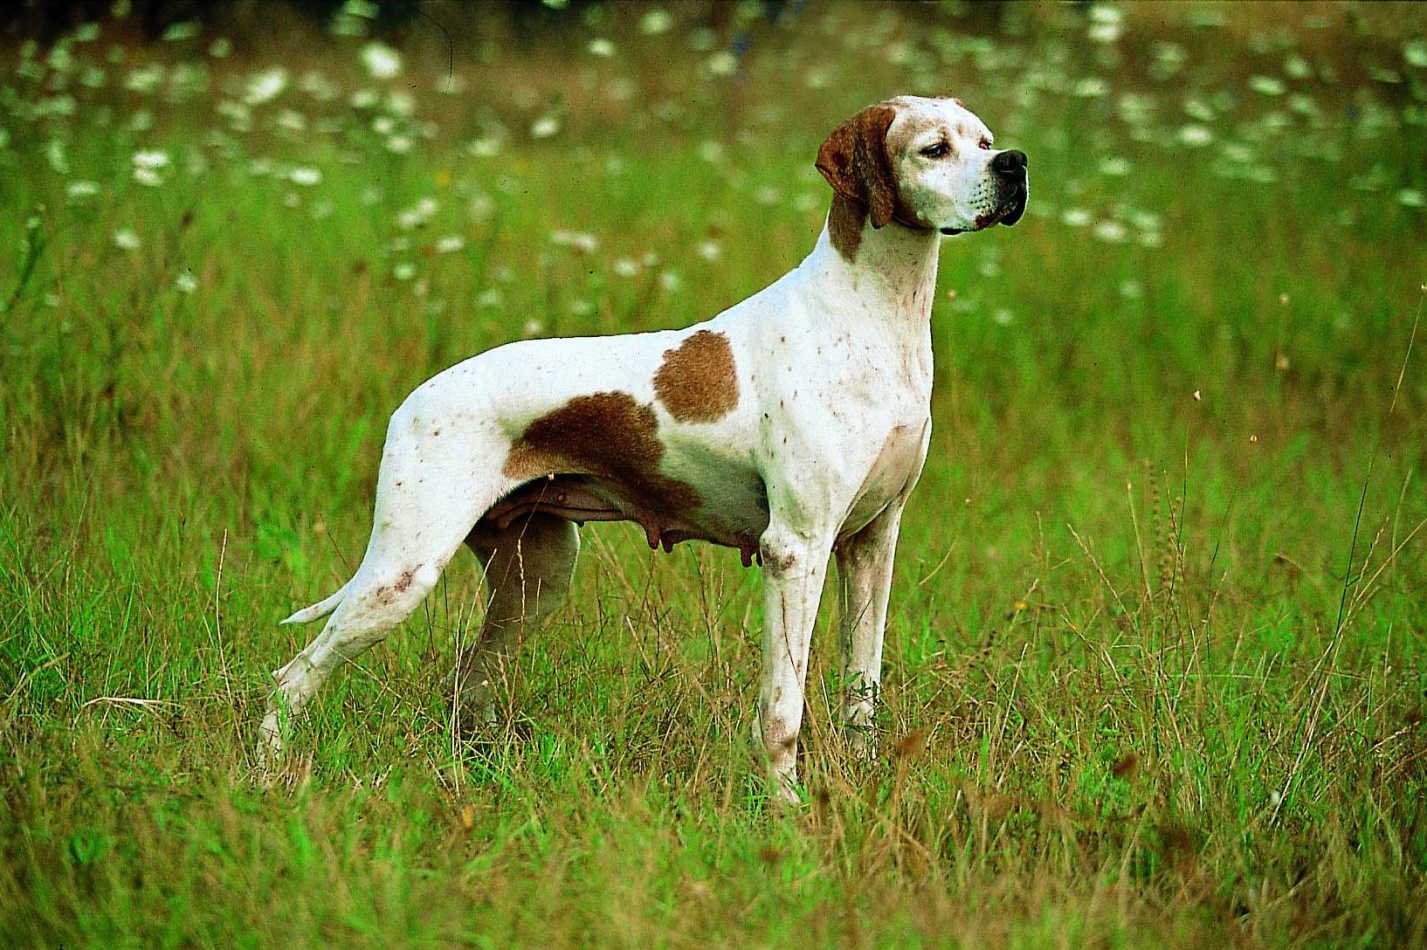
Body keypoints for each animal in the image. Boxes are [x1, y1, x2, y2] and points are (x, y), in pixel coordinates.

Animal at [262, 96, 1027, 793]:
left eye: (985, 141)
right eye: (934, 148)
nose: (1015, 164)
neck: (871, 314)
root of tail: (411, 402)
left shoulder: (871, 544)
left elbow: (860, 697)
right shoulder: (795, 550)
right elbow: (781, 713)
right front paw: (786, 816)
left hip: (536, 578)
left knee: (465, 681)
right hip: (402, 575)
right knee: (291, 678)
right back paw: (268, 779)